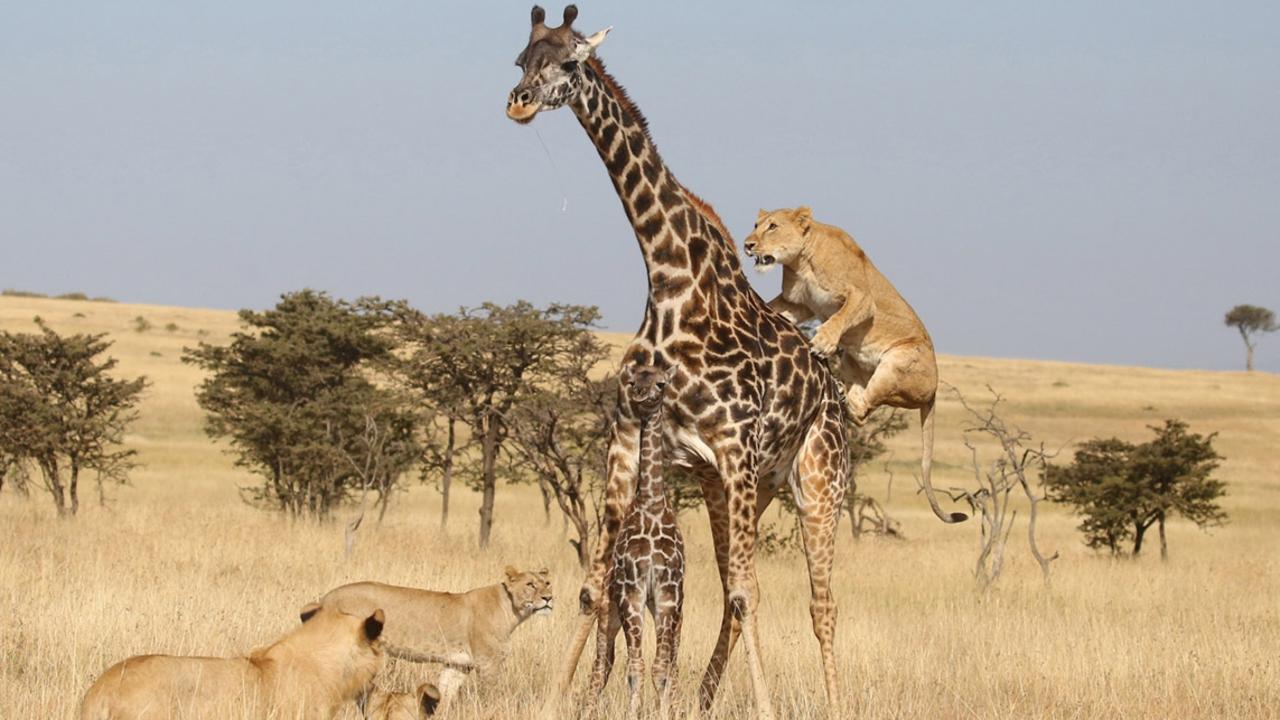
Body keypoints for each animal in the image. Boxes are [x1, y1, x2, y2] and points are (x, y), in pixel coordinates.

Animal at [591, 363, 691, 717]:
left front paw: (667, 713)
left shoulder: (668, 595)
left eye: (661, 383)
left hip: (673, 613)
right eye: (633, 380)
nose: (640, 395)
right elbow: (635, 669)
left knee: (671, 663)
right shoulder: (631, 593)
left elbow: (662, 669)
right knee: (601, 664)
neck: (651, 504)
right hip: (608, 611)